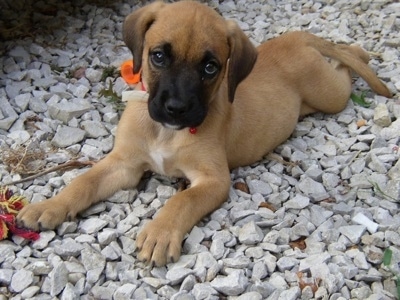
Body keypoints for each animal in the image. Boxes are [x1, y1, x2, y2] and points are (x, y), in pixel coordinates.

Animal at [18, 1, 390, 266]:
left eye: (210, 67)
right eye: (158, 56)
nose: (176, 108)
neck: (166, 132)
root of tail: (295, 36)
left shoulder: (213, 179)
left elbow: (182, 200)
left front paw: (160, 232)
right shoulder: (124, 163)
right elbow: (84, 180)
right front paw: (50, 205)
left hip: (331, 95)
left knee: (345, 62)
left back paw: (364, 55)